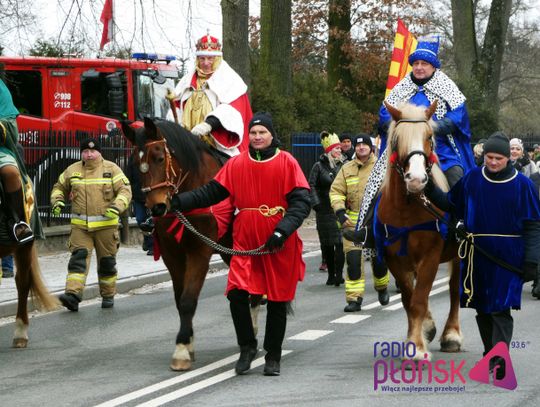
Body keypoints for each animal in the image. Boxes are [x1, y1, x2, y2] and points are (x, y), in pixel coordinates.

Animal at [123, 118, 235, 372]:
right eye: (135, 162)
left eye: (159, 158)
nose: (156, 207)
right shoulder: (172, 254)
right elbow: (179, 298)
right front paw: (187, 344)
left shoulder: (199, 252)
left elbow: (187, 300)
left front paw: (182, 349)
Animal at [376, 101, 464, 360]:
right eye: (397, 139)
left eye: (429, 137)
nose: (416, 179)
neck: (408, 207)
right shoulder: (394, 258)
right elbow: (409, 299)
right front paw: (420, 334)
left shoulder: (430, 257)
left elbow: (419, 301)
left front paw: (416, 348)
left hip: (459, 254)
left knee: (454, 290)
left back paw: (451, 335)